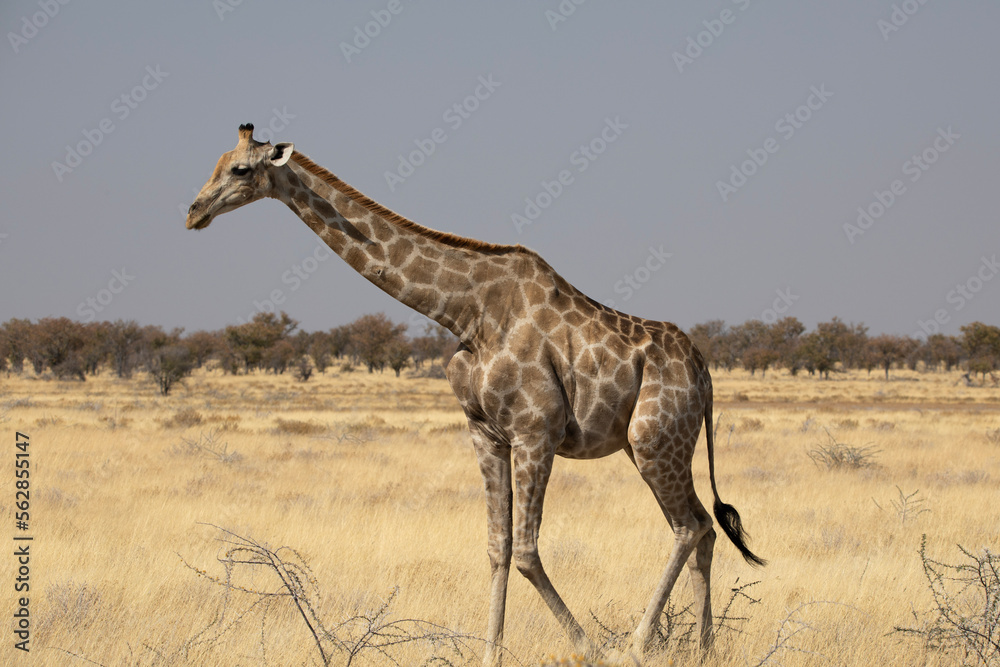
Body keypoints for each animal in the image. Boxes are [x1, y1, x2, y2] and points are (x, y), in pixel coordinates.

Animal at [186, 124, 765, 665]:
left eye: (240, 169)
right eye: (215, 163)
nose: (194, 212)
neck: (464, 313)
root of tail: (704, 372)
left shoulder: (535, 431)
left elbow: (527, 551)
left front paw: (592, 648)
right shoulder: (485, 433)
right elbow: (497, 548)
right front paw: (490, 654)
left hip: (653, 442)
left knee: (688, 527)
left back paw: (634, 647)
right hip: (660, 445)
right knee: (706, 526)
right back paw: (705, 649)